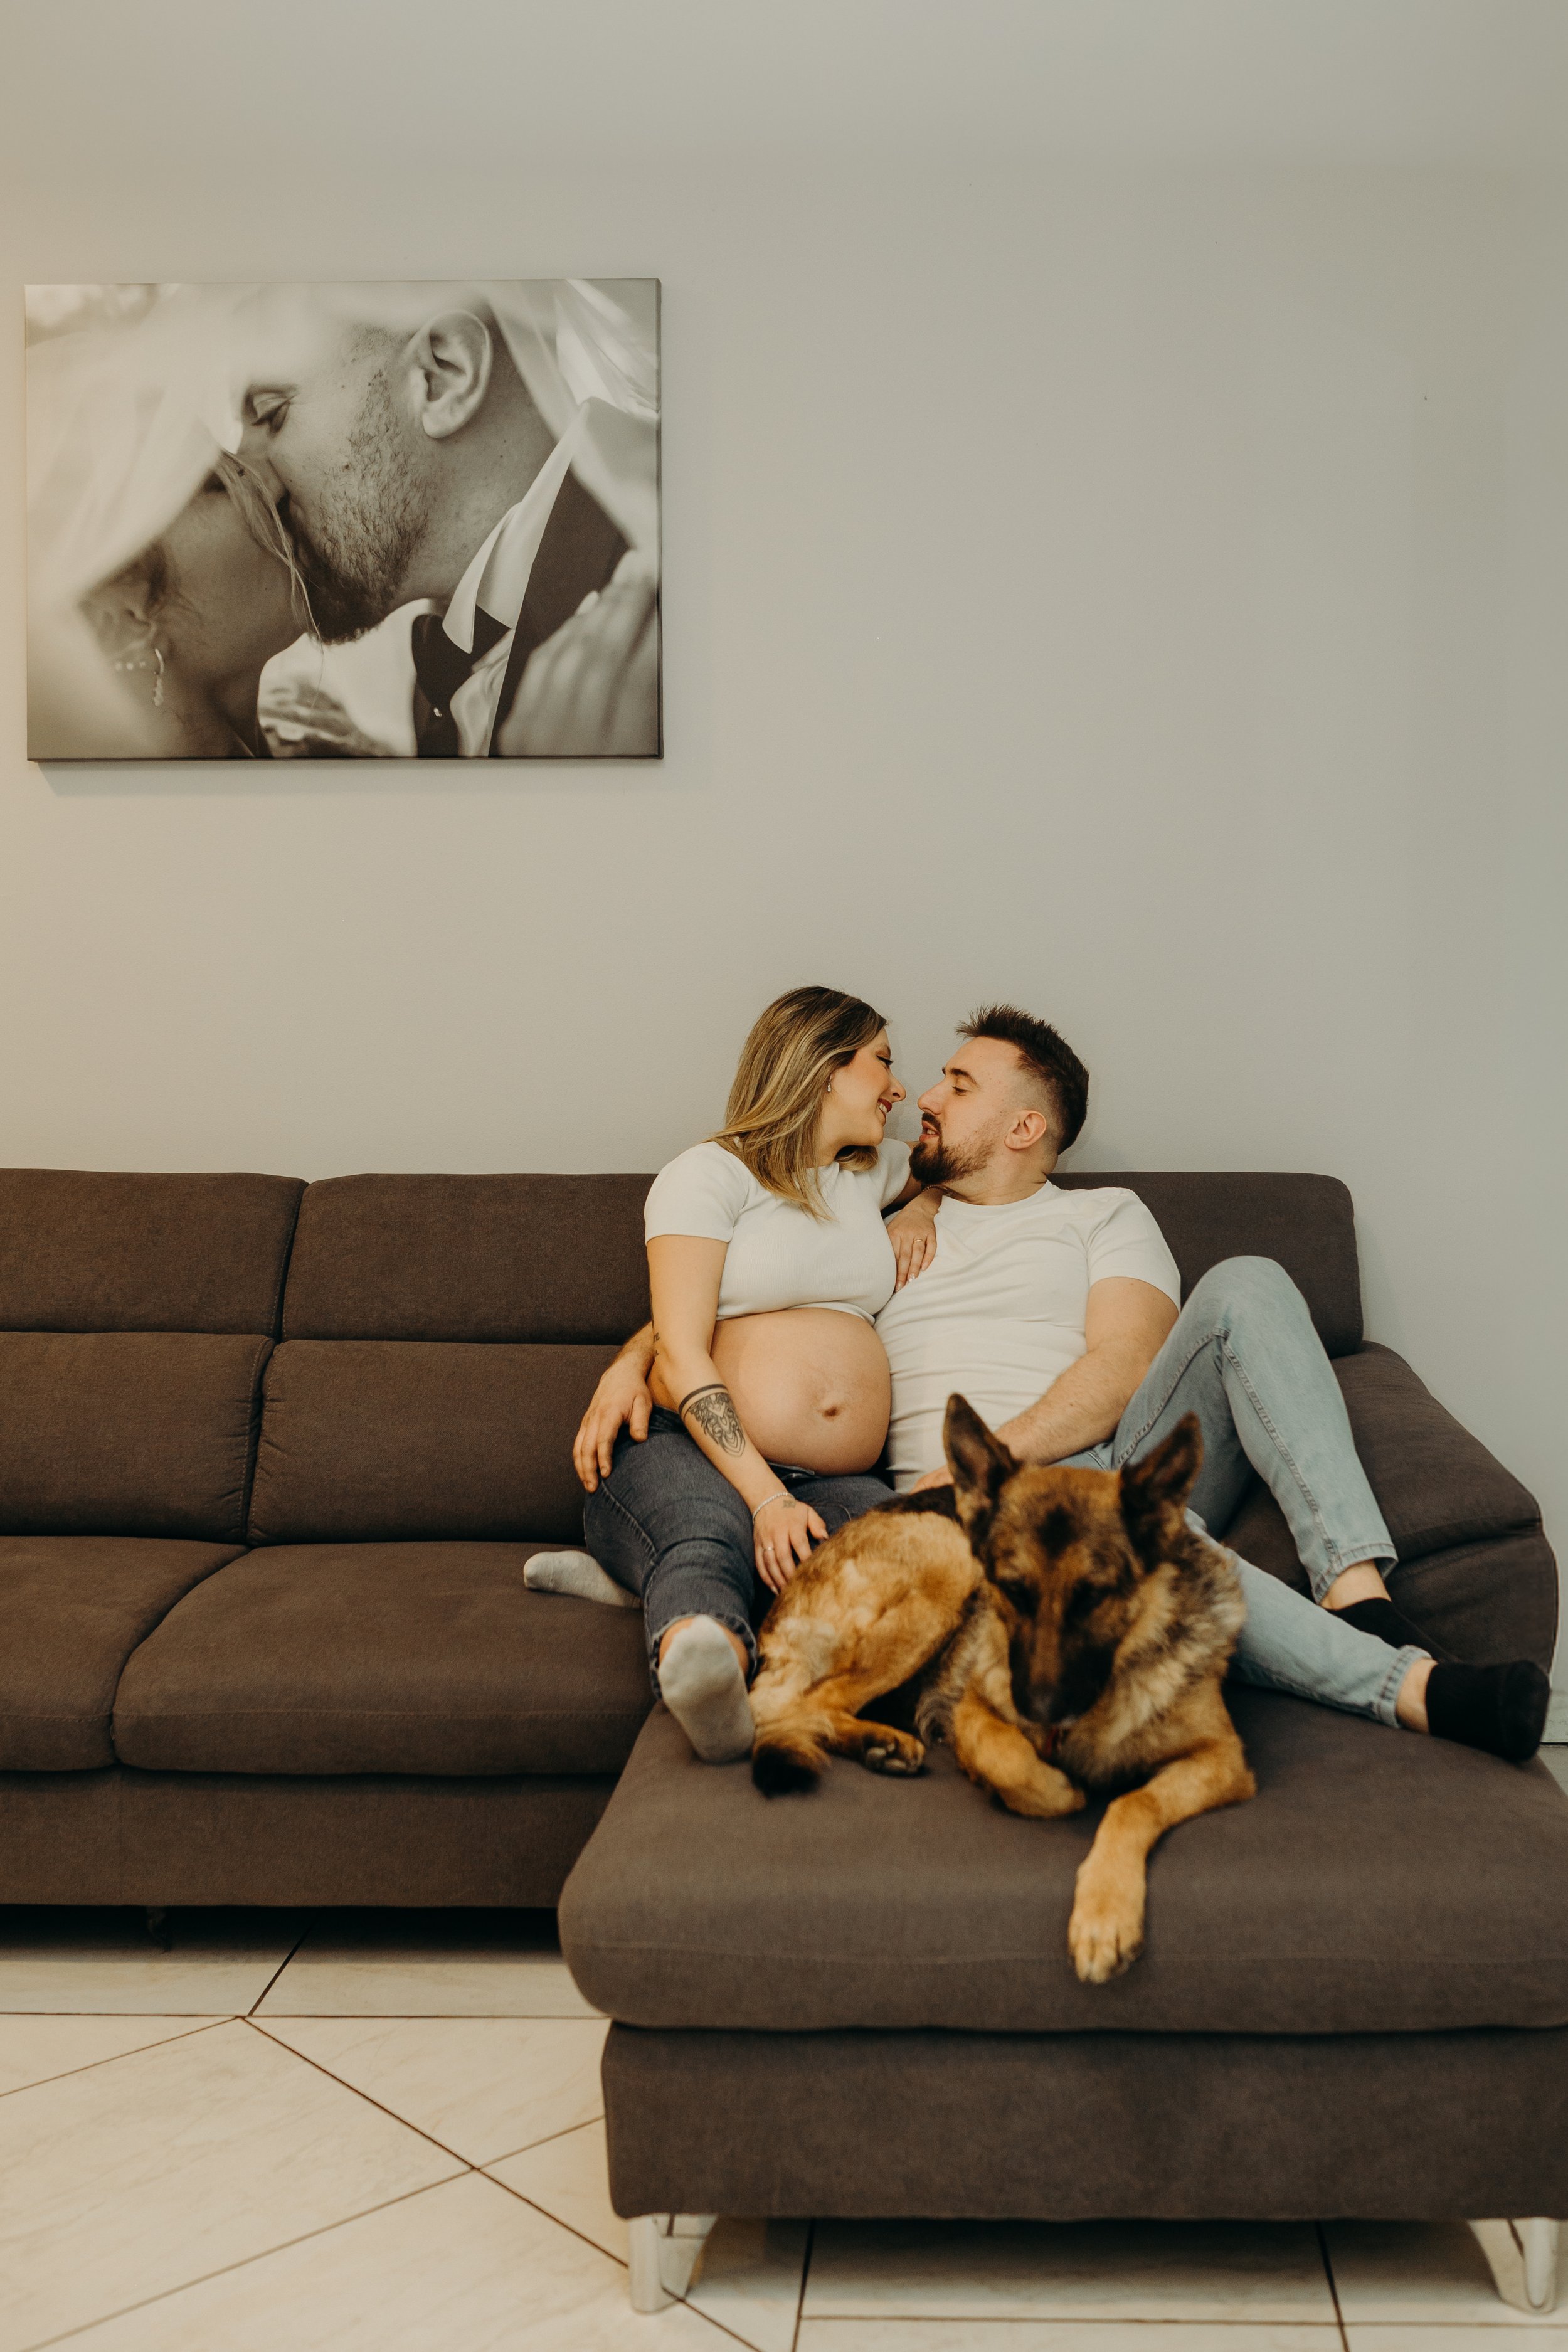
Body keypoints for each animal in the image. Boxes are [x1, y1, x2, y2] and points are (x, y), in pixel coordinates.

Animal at [748, 1397, 1256, 1982]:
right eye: (1012, 1590)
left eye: (1095, 1596)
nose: (1040, 1708)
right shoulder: (970, 1712)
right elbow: (1013, 1761)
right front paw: (1054, 1791)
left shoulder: (1222, 1759)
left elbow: (1134, 1803)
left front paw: (1105, 1914)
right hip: (950, 1559)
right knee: (806, 1706)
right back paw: (883, 1742)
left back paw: (880, 1743)